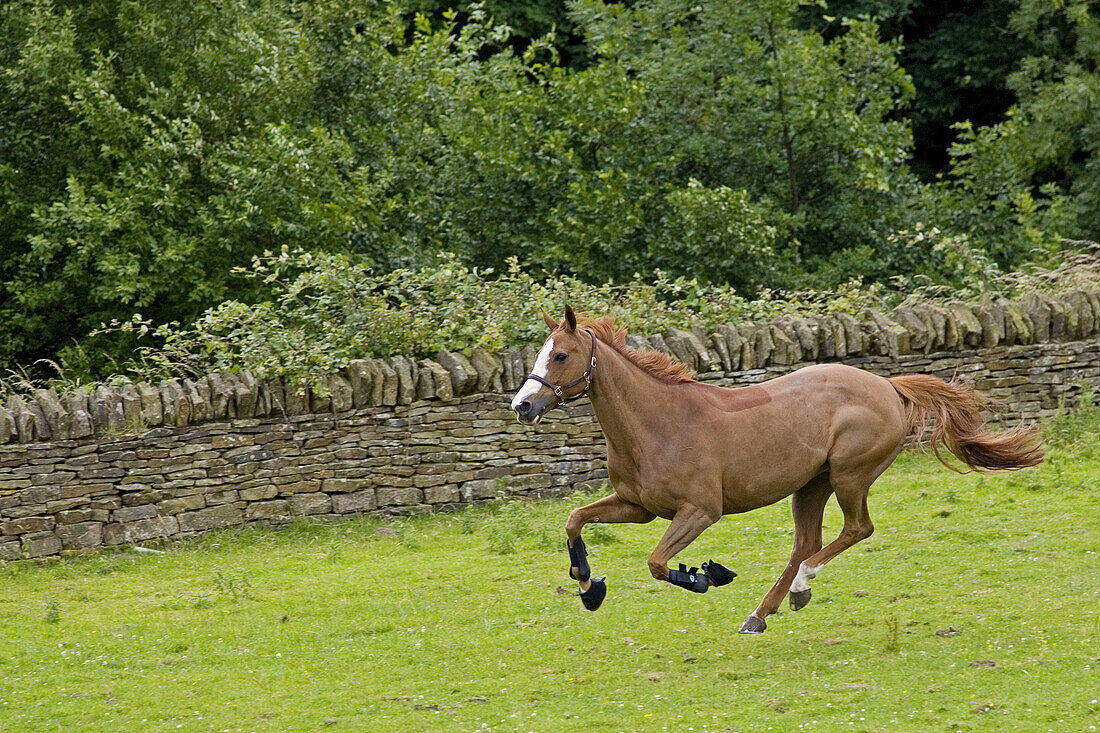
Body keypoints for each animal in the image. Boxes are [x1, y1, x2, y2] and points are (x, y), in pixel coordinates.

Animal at [510, 305, 1042, 629]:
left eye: (560, 355)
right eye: (539, 354)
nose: (522, 405)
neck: (657, 423)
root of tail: (888, 387)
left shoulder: (701, 511)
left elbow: (659, 563)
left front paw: (706, 575)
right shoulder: (636, 506)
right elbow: (574, 520)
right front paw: (588, 586)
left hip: (849, 476)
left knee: (855, 530)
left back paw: (801, 587)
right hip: (810, 485)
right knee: (807, 542)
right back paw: (761, 614)